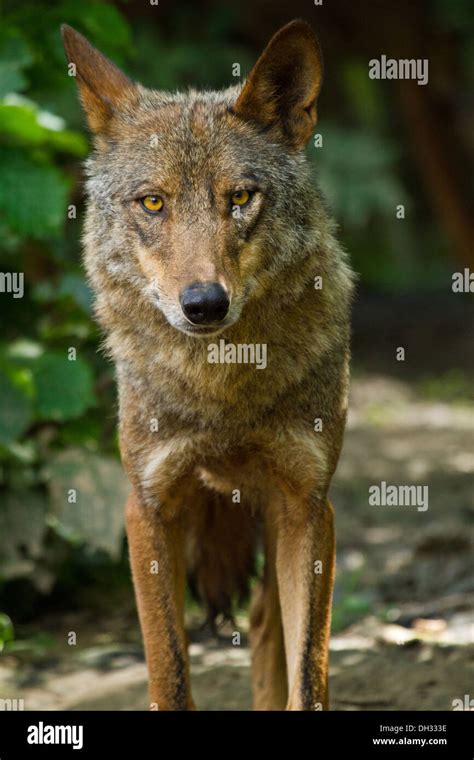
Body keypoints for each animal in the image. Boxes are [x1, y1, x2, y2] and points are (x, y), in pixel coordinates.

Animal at [62, 17, 352, 708]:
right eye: (153, 204)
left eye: (240, 198)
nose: (203, 304)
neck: (224, 392)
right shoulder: (149, 507)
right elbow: (168, 670)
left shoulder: (308, 504)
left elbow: (309, 675)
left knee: (265, 622)